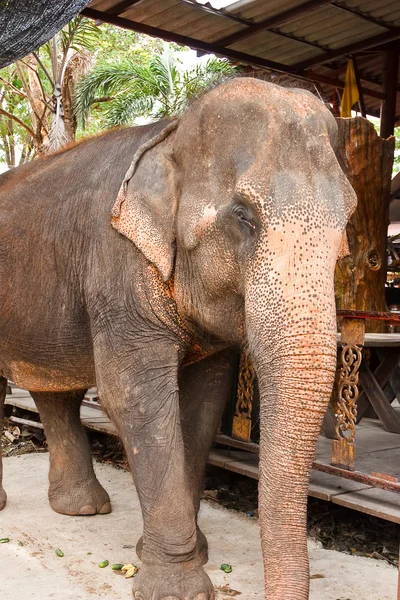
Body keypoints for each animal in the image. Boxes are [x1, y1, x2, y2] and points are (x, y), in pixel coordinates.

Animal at [0, 77, 356, 596]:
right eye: (243, 215)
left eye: (347, 221)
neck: (170, 133)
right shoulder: (119, 268)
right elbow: (135, 398)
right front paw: (178, 587)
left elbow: (203, 401)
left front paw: (184, 553)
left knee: (56, 389)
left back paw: (83, 509)